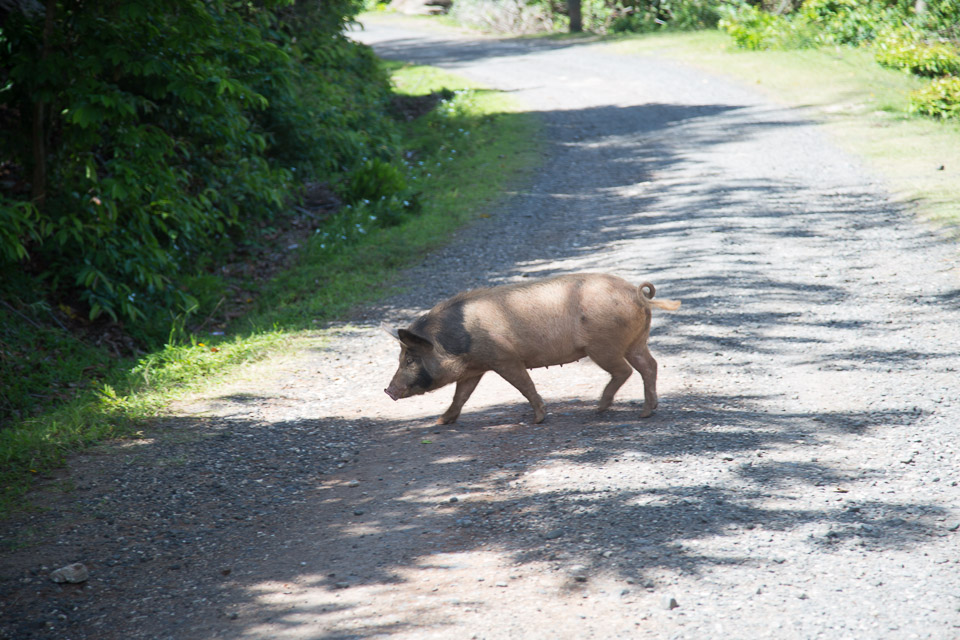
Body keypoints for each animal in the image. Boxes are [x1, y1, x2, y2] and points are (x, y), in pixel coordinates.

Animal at [378, 272, 680, 422]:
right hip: (635, 342)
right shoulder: (476, 368)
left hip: (603, 346)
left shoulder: (504, 358)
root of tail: (637, 293)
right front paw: (441, 422)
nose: (388, 390)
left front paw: (538, 420)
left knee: (625, 371)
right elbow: (460, 396)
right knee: (649, 366)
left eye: (409, 359)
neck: (457, 343)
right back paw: (646, 412)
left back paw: (599, 410)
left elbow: (524, 385)